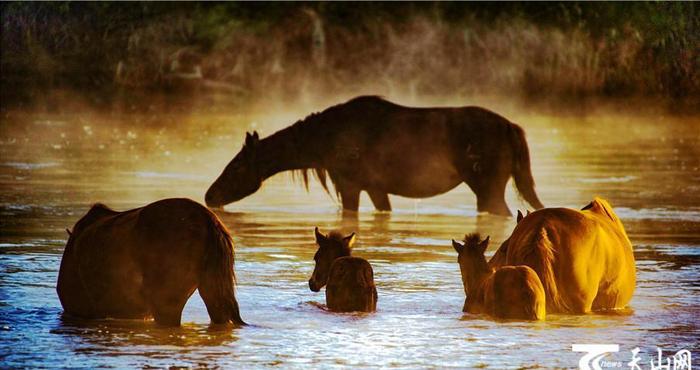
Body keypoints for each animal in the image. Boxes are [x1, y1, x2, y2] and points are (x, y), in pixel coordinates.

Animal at [205, 95, 544, 215]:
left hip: (487, 185)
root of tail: (513, 128)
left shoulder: (349, 184)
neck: (318, 146)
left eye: (236, 168)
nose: (210, 196)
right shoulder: (376, 188)